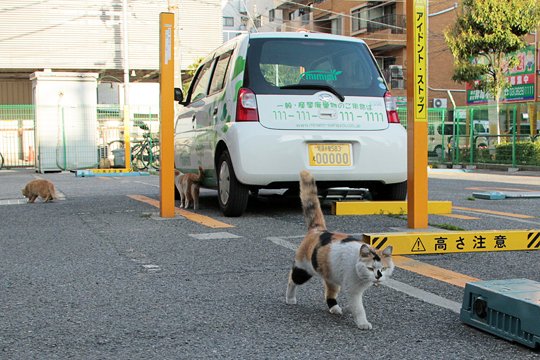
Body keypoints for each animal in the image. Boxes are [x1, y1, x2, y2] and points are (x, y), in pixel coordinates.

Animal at [284, 170, 394, 330]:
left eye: (384, 268)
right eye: (370, 268)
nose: (378, 276)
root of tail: (318, 230)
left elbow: (353, 305)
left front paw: (349, 310)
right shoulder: (353, 290)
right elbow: (359, 308)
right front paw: (363, 322)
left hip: (331, 276)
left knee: (329, 293)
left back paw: (335, 308)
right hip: (303, 270)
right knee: (292, 279)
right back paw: (290, 298)